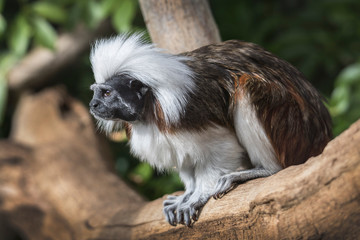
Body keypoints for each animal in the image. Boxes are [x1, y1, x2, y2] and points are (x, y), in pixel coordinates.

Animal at [89, 33, 332, 227]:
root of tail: (321, 135)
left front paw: (199, 194)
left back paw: (263, 170)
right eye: (94, 92)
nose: (93, 105)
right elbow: (185, 161)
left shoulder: (190, 112)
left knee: (246, 86)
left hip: (292, 128)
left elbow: (223, 148)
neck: (149, 108)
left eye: (107, 93)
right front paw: (188, 192)